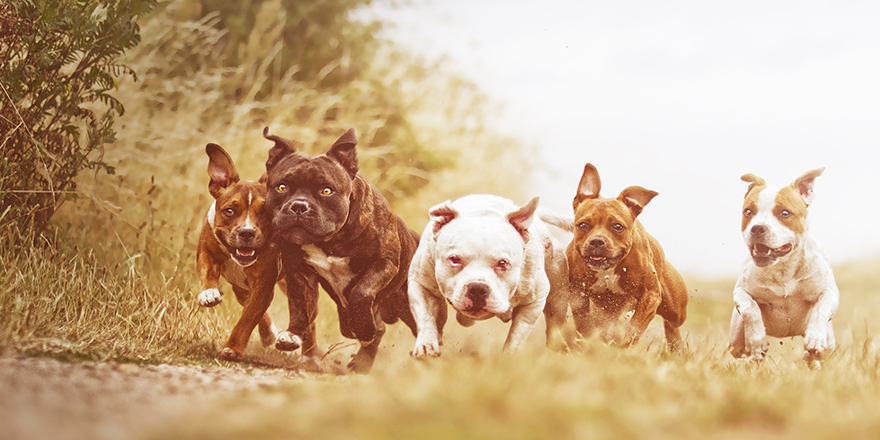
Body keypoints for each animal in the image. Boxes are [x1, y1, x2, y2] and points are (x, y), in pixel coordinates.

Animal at [198, 143, 284, 362]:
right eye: (229, 211)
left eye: (265, 212)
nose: (247, 232)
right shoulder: (206, 249)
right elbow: (207, 271)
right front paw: (208, 292)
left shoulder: (263, 285)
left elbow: (246, 320)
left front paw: (232, 349)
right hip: (241, 288)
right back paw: (270, 335)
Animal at [408, 195, 572, 358]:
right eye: (454, 259)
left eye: (502, 263)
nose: (477, 288)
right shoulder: (420, 284)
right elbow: (425, 315)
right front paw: (426, 345)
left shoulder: (534, 301)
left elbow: (517, 334)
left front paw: (508, 357)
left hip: (557, 298)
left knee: (554, 323)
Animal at [552, 163, 688, 348]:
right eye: (583, 225)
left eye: (617, 226)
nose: (597, 241)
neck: (608, 269)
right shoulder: (578, 295)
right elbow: (584, 324)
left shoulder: (651, 295)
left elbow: (635, 326)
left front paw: (623, 345)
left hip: (675, 310)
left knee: (672, 323)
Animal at [728, 168, 840, 368]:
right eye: (748, 212)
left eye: (785, 213)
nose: (758, 228)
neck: (783, 268)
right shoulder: (741, 291)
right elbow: (750, 308)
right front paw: (757, 341)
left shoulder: (829, 292)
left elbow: (821, 308)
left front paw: (814, 338)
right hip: (735, 340)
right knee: (742, 351)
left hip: (829, 343)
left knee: (821, 352)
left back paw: (811, 356)